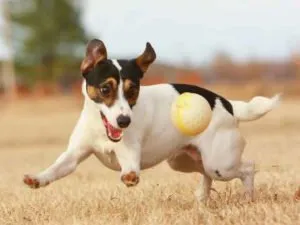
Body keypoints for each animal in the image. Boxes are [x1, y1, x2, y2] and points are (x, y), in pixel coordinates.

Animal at [24, 39, 282, 202]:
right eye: (106, 88)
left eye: (133, 90)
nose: (124, 121)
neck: (102, 128)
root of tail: (228, 103)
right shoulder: (74, 155)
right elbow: (56, 169)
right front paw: (37, 179)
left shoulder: (130, 154)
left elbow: (130, 169)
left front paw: (129, 178)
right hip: (184, 161)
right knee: (206, 173)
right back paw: (202, 198)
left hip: (221, 163)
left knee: (247, 168)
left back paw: (247, 198)